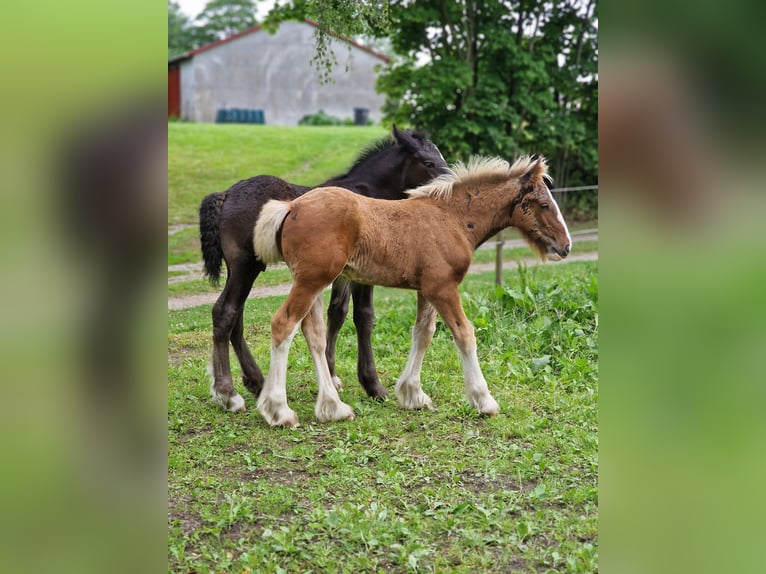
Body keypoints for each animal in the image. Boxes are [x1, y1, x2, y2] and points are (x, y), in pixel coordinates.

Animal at [199, 126, 449, 413]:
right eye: (428, 163)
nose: (451, 184)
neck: (370, 191)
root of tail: (226, 195)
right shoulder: (365, 271)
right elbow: (363, 317)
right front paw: (373, 385)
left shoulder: (344, 272)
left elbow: (337, 312)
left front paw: (333, 374)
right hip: (245, 265)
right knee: (225, 312)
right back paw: (228, 393)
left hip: (241, 268)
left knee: (234, 316)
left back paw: (255, 381)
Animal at [252, 155, 572, 427]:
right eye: (543, 204)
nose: (566, 246)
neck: (453, 219)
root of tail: (291, 207)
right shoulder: (443, 288)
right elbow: (464, 334)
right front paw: (484, 400)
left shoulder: (428, 289)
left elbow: (423, 333)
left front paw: (413, 394)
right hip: (312, 281)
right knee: (283, 325)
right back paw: (279, 411)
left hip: (315, 282)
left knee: (314, 335)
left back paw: (333, 407)